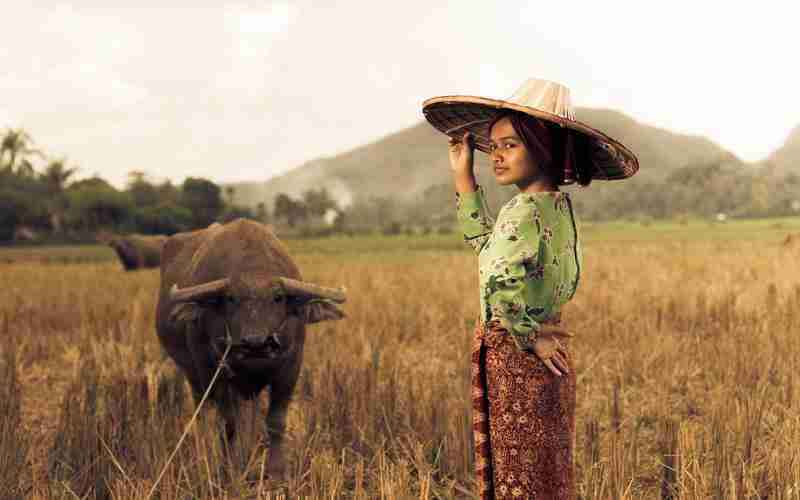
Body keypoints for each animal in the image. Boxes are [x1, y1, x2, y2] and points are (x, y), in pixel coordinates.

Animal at [155, 218, 346, 476]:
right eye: (231, 298)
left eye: (278, 297)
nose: (256, 343)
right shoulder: (212, 371)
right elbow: (228, 424)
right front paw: (230, 468)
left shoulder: (290, 367)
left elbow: (275, 421)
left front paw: (276, 471)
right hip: (194, 374)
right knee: (204, 412)